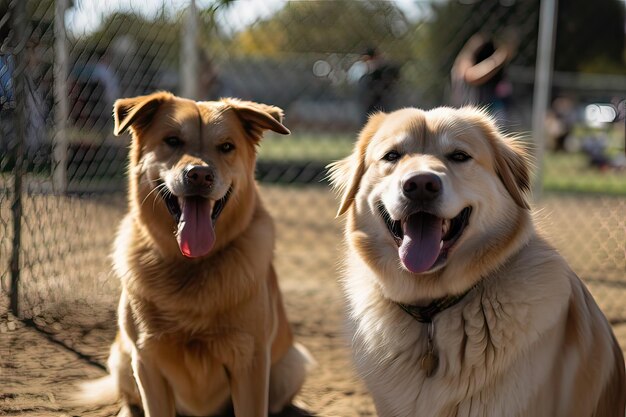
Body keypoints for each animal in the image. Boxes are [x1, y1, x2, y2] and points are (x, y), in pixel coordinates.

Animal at [76, 92, 312, 416]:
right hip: (122, 357)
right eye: (173, 141)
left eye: (226, 147)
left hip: (293, 363)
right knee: (129, 399)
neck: (192, 265)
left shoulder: (250, 362)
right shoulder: (147, 361)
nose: (200, 175)